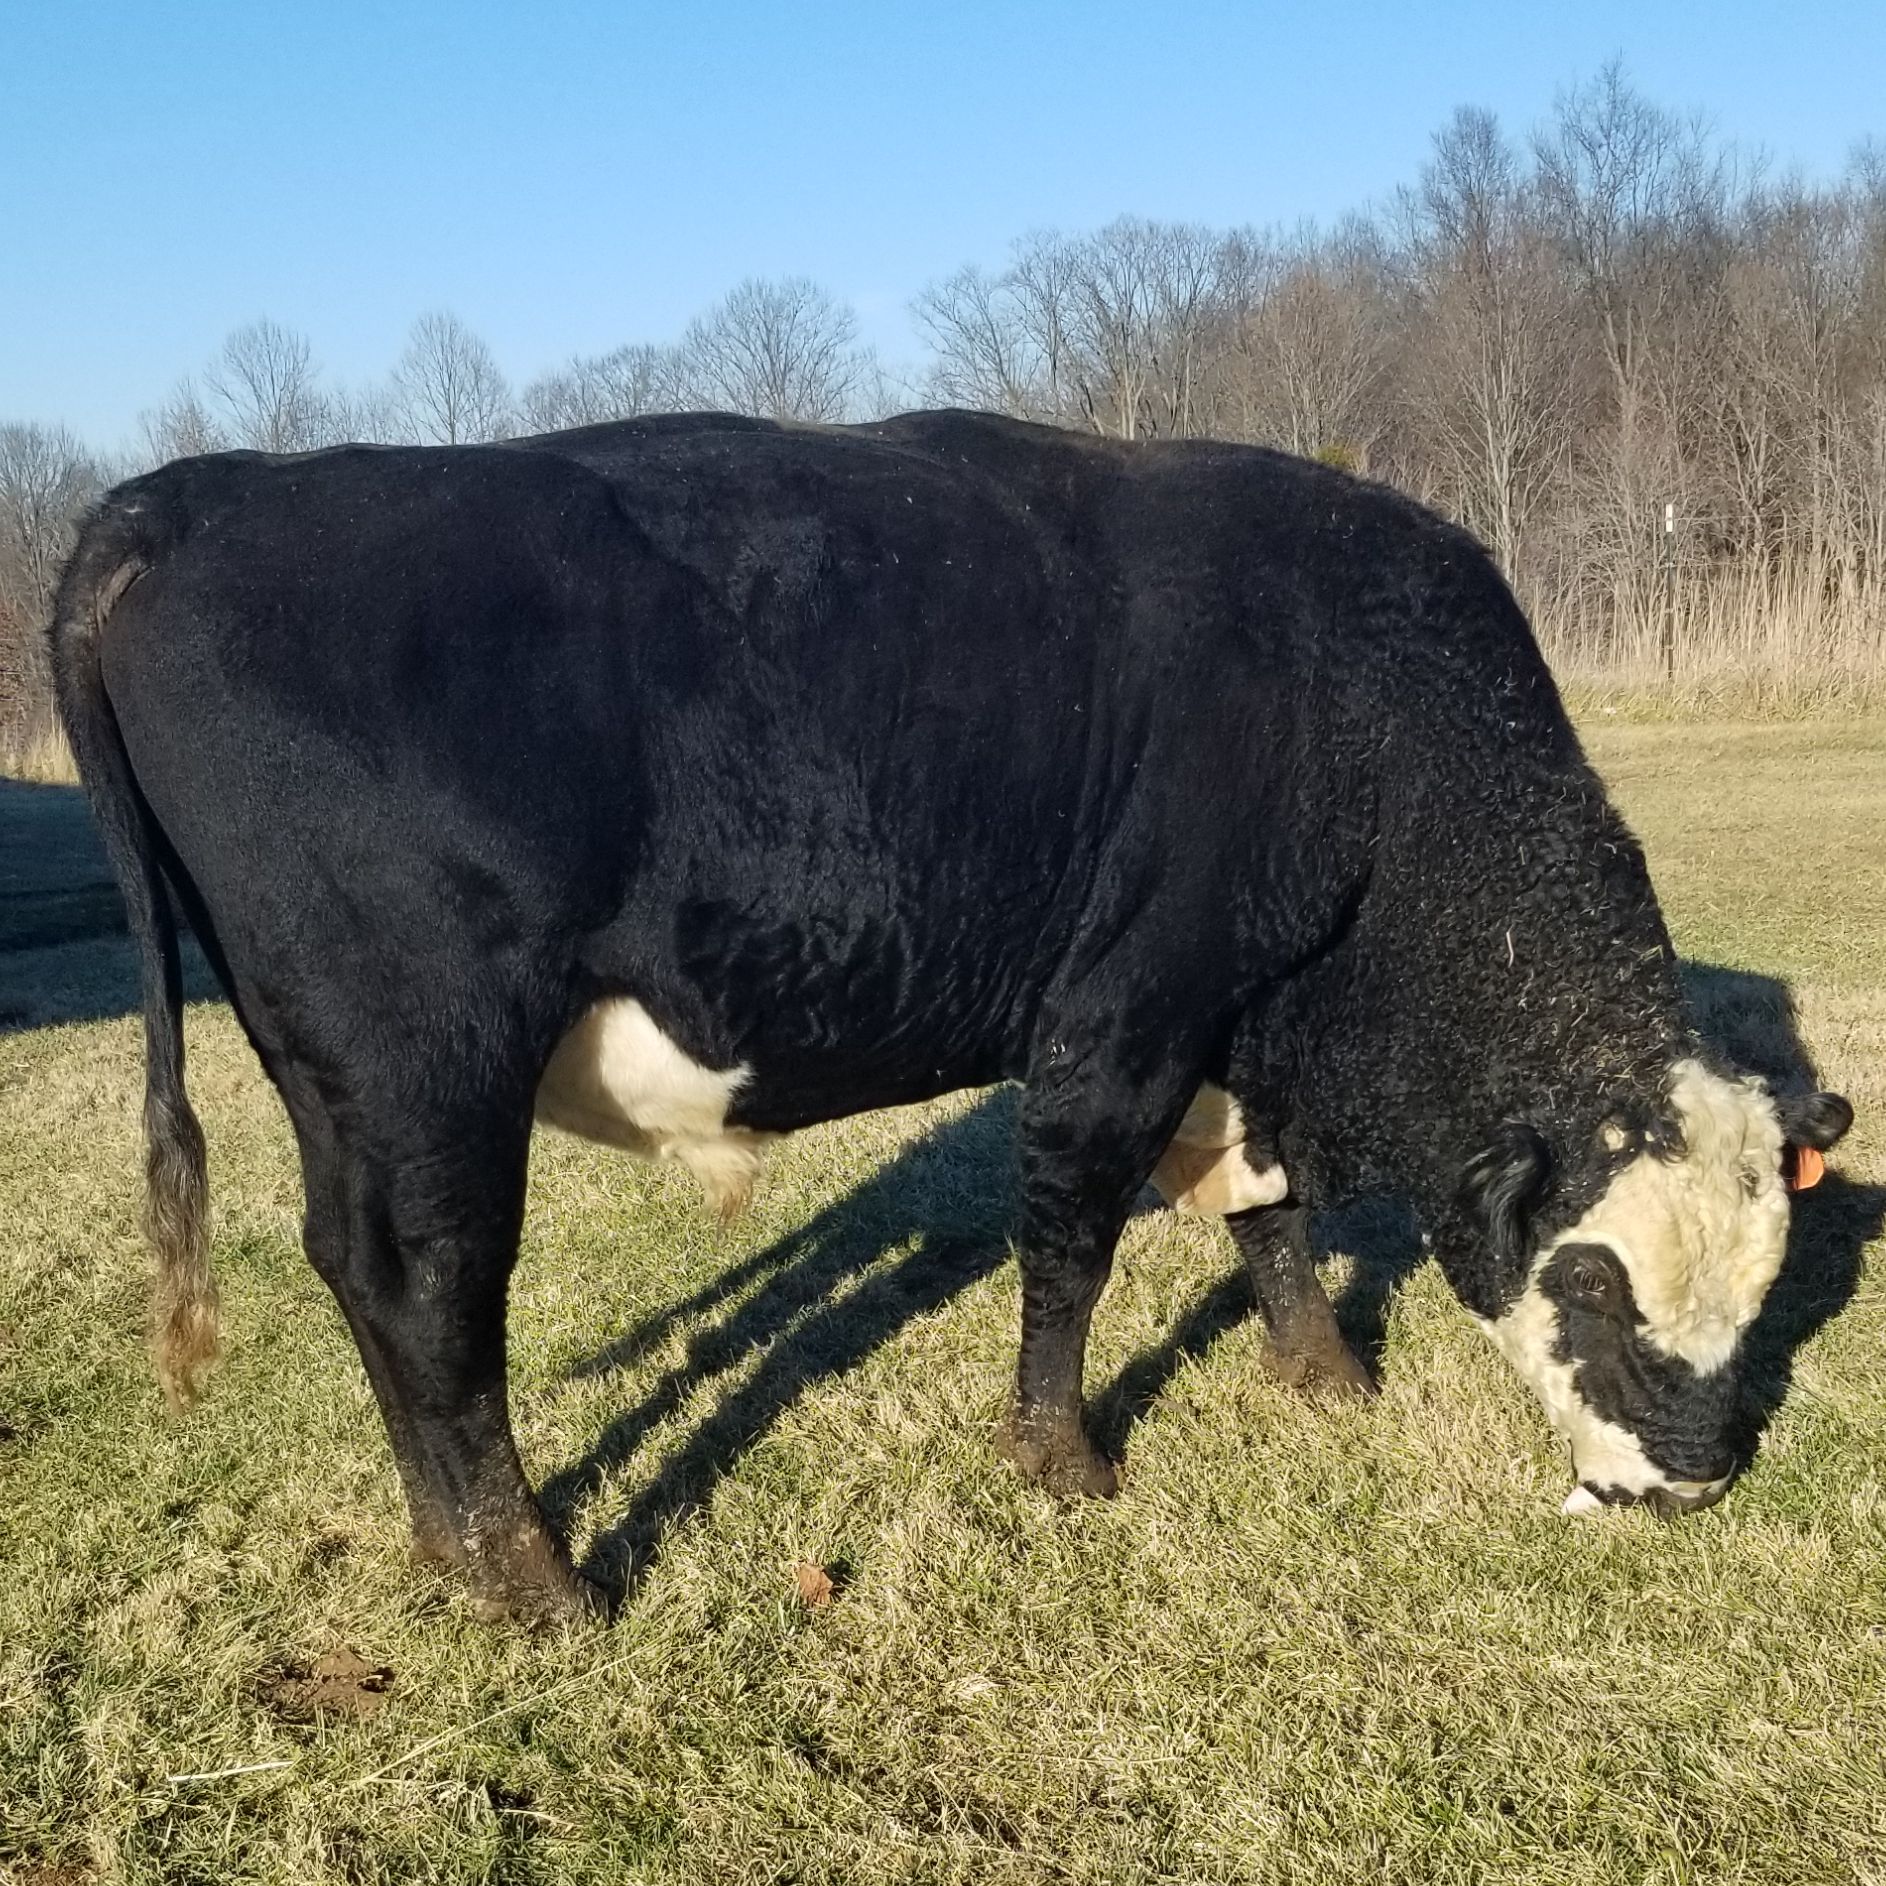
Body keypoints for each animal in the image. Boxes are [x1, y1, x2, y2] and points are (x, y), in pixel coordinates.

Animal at [51, 409, 1851, 1621]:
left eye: (1771, 1284)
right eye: (1596, 1287)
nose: (1695, 1477)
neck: (1362, 712)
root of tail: (203, 487)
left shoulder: (1236, 1022)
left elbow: (1264, 1208)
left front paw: (1323, 1373)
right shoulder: (1125, 1009)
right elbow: (1072, 1238)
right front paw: (1061, 1458)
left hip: (329, 1073)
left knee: (356, 1272)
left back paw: (451, 1552)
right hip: (427, 1063)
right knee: (431, 1289)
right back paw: (530, 1572)